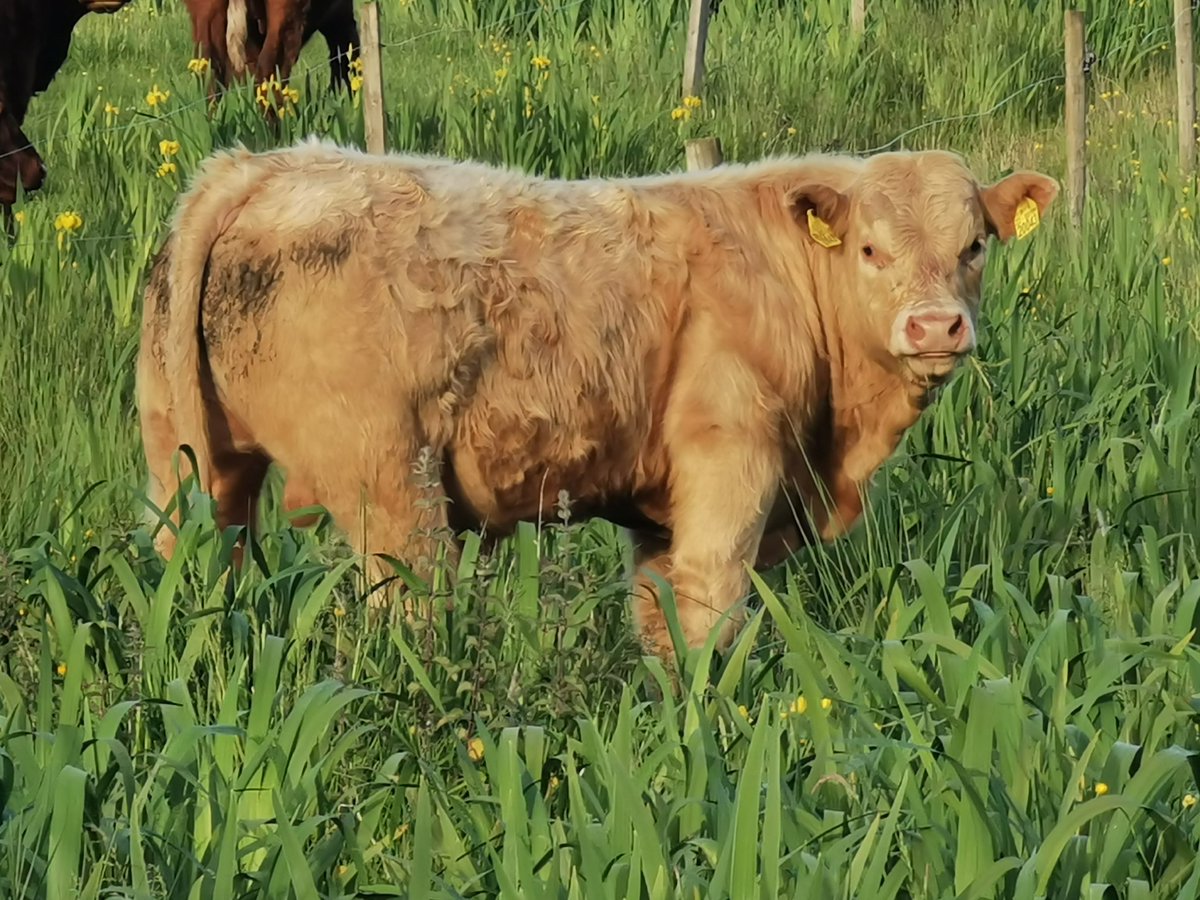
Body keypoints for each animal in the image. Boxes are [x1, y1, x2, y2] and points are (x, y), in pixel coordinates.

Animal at [136, 138, 1058, 659]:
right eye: (870, 249)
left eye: (975, 246)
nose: (935, 325)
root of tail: (266, 165)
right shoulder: (732, 468)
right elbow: (713, 615)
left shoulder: (659, 515)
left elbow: (662, 626)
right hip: (391, 491)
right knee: (408, 617)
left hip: (187, 465)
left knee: (190, 570)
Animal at [181, 0, 358, 106]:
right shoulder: (340, 16)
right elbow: (346, 60)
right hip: (285, 19)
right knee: (269, 74)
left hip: (207, 21)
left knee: (210, 78)